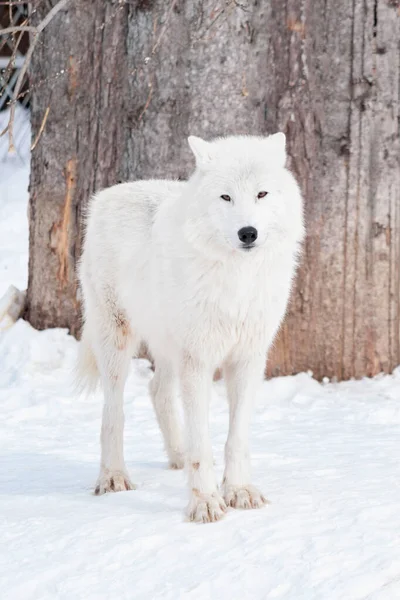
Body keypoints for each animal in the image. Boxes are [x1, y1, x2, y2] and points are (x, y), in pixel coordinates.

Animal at [77, 131, 304, 520]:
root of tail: (105, 196)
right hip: (118, 343)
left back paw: (177, 458)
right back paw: (113, 477)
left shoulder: (247, 359)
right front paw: (205, 501)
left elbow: (236, 438)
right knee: (112, 413)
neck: (237, 281)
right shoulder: (198, 361)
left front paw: (239, 491)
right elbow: (203, 444)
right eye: (226, 197)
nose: (247, 233)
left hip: (169, 349)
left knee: (157, 390)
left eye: (261, 194)